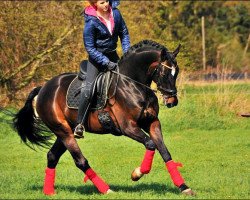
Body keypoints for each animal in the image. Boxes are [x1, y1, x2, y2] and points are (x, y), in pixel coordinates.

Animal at [13, 40, 195, 195]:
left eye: (176, 72)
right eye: (164, 73)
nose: (172, 101)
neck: (133, 84)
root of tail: (43, 87)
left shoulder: (152, 123)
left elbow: (164, 151)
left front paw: (183, 187)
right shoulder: (128, 127)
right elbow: (150, 144)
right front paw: (136, 174)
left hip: (65, 130)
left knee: (52, 156)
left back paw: (49, 192)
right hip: (63, 131)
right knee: (80, 161)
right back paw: (106, 189)